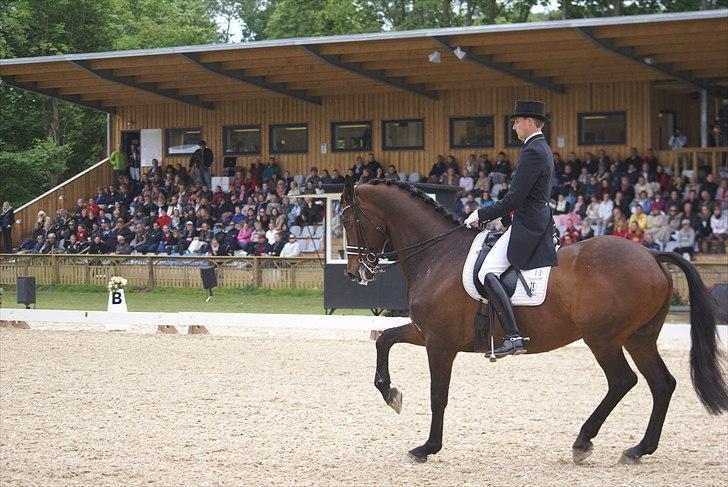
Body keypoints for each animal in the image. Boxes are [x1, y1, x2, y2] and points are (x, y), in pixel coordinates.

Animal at [342, 178, 728, 466]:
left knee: (623, 381)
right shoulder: (427, 333)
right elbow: (384, 340)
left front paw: (426, 448)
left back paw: (583, 442)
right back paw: (638, 449)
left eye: (346, 221)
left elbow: (439, 395)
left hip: (603, 338)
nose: (355, 273)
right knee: (661, 384)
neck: (438, 254)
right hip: (639, 338)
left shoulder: (440, 342)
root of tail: (650, 253)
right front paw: (391, 394)